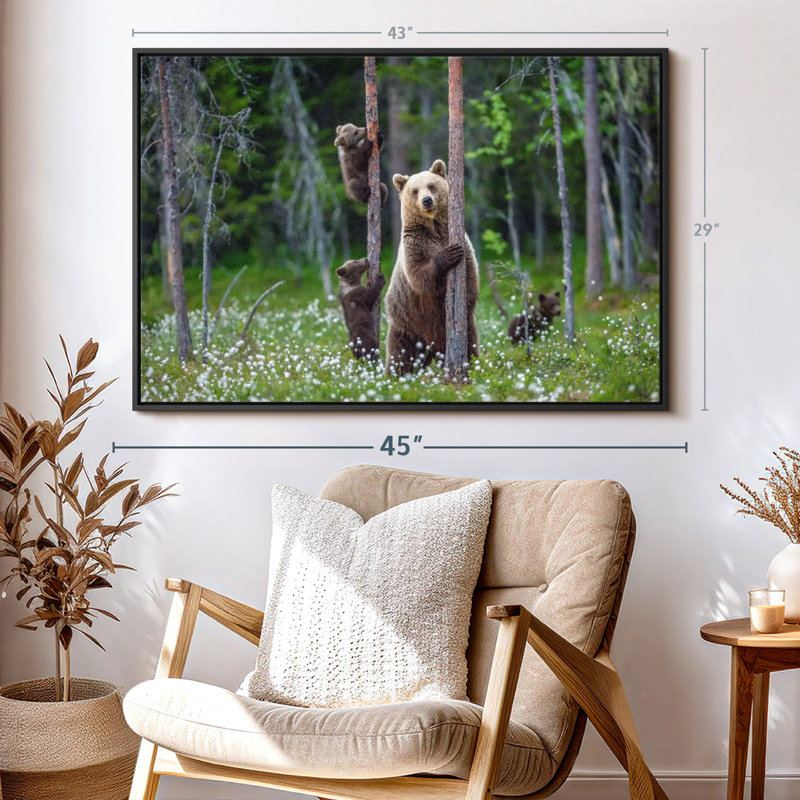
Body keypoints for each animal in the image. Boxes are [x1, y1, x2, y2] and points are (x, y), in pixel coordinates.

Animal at [384, 159, 479, 375]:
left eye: (431, 185)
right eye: (414, 190)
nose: (427, 200)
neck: (435, 228)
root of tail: (433, 347)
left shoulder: (463, 242)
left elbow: (470, 277)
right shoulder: (415, 243)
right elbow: (420, 276)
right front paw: (449, 254)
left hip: (463, 329)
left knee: (470, 345)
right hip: (407, 324)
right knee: (400, 355)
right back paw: (393, 376)